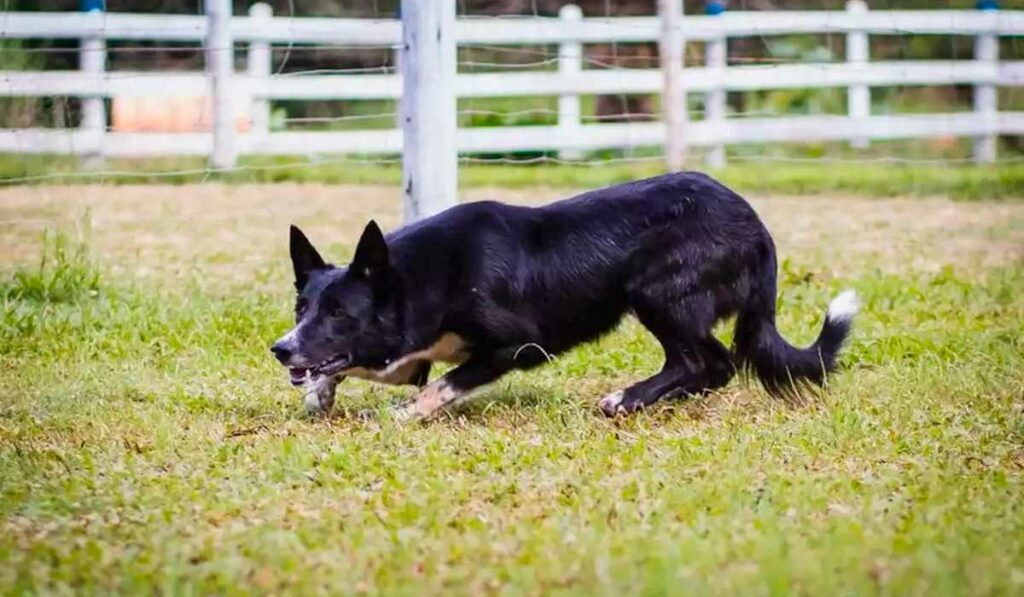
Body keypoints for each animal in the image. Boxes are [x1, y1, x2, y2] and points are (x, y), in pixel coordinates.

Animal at [272, 173, 856, 419]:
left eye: (340, 312)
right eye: (303, 309)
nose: (280, 349)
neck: (422, 277)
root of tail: (756, 227)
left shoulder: (517, 345)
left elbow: (444, 383)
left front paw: (405, 415)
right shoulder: (410, 349)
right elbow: (366, 366)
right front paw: (319, 393)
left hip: (657, 291)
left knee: (709, 361)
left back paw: (627, 400)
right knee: (699, 365)